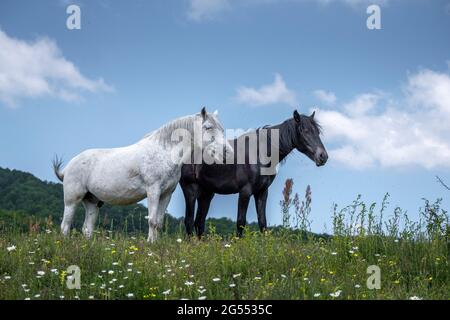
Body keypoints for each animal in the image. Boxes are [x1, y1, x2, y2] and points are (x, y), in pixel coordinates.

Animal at [52, 107, 232, 240]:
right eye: (208, 127)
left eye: (222, 129)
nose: (227, 153)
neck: (163, 151)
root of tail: (68, 167)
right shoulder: (153, 191)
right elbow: (152, 221)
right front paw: (151, 245)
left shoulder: (166, 194)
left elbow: (158, 222)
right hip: (72, 201)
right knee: (65, 226)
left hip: (92, 202)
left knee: (87, 229)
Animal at [178, 110, 326, 238]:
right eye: (304, 131)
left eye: (317, 131)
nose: (323, 156)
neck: (261, 153)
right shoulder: (245, 191)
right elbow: (240, 222)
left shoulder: (262, 192)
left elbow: (263, 223)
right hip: (190, 189)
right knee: (189, 221)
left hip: (207, 193)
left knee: (199, 222)